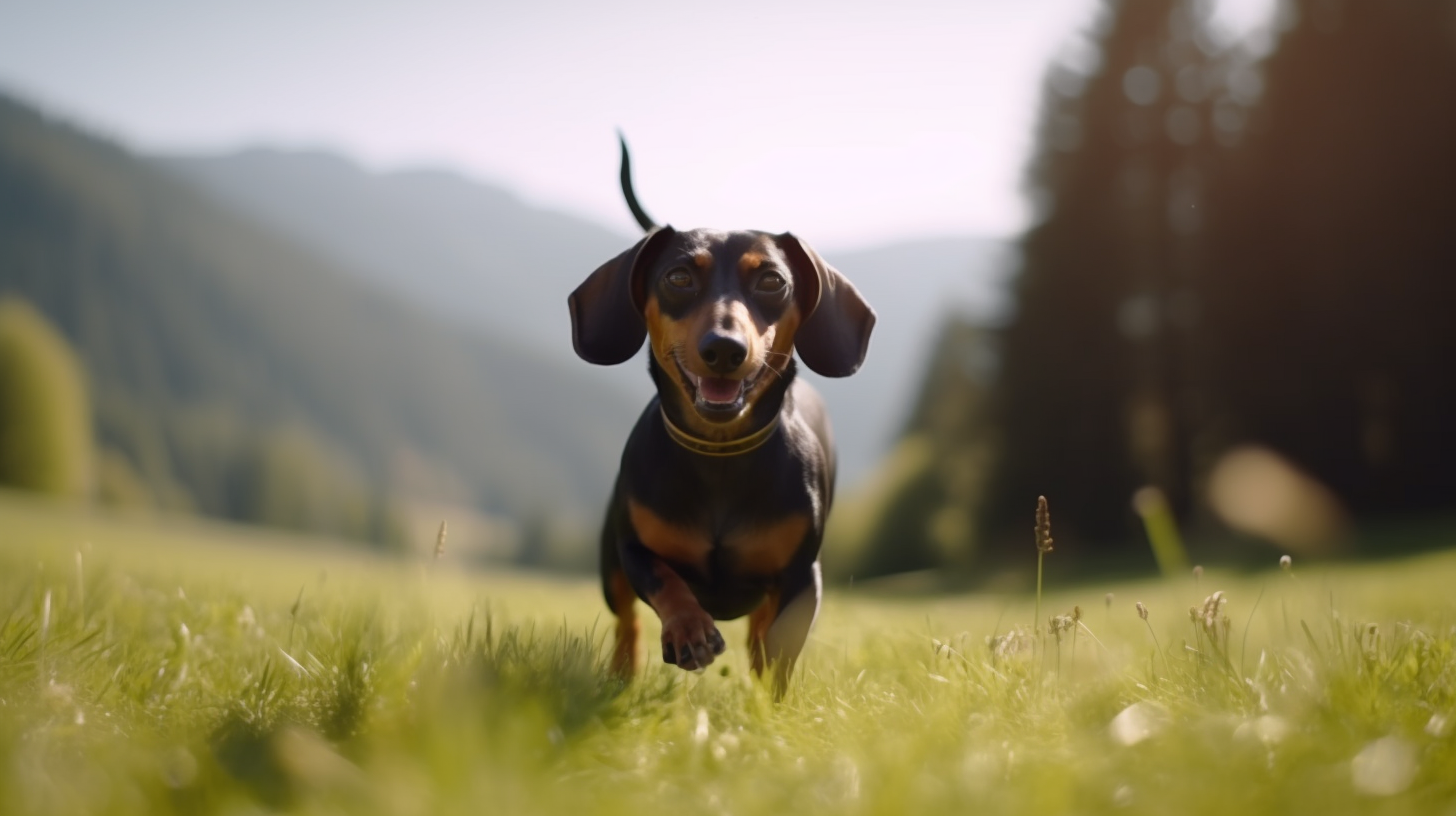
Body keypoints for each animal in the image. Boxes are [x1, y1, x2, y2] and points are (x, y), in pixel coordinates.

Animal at [567, 138, 867, 693]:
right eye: (679, 276)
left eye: (772, 280)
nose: (725, 349)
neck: (720, 455)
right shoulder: (633, 550)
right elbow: (666, 583)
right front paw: (689, 630)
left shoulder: (802, 577)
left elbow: (781, 642)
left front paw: (770, 694)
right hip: (608, 565)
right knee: (626, 620)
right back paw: (622, 673)